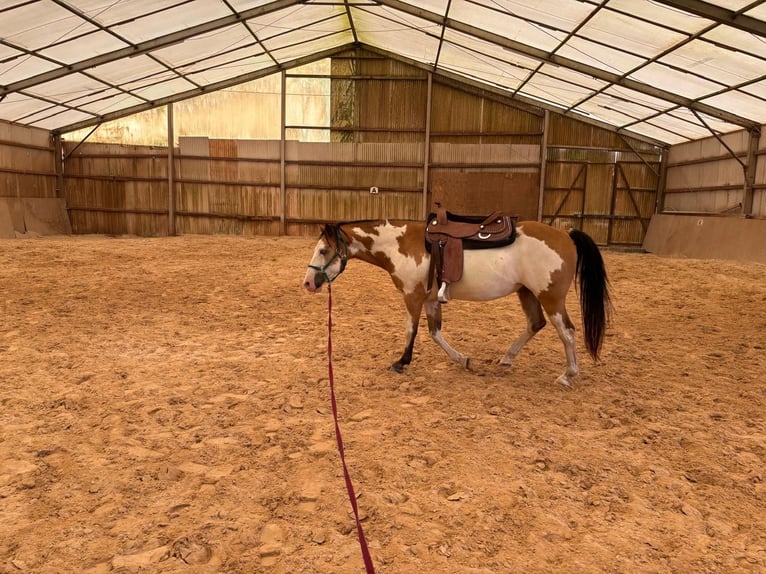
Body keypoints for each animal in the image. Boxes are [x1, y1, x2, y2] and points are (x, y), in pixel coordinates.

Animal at [303, 218, 611, 387]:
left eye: (323, 250)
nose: (308, 283)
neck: (400, 244)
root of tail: (566, 234)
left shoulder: (412, 296)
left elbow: (411, 330)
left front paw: (401, 362)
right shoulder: (430, 299)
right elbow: (435, 332)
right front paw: (463, 360)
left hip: (550, 297)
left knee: (566, 331)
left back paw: (568, 375)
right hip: (527, 292)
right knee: (535, 324)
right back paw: (507, 358)